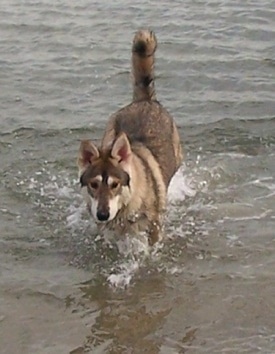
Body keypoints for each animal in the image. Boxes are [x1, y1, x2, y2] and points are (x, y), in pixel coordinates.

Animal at [77, 29, 183, 246]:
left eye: (115, 184)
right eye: (93, 185)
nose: (102, 214)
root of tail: (144, 100)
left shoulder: (153, 227)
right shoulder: (106, 230)